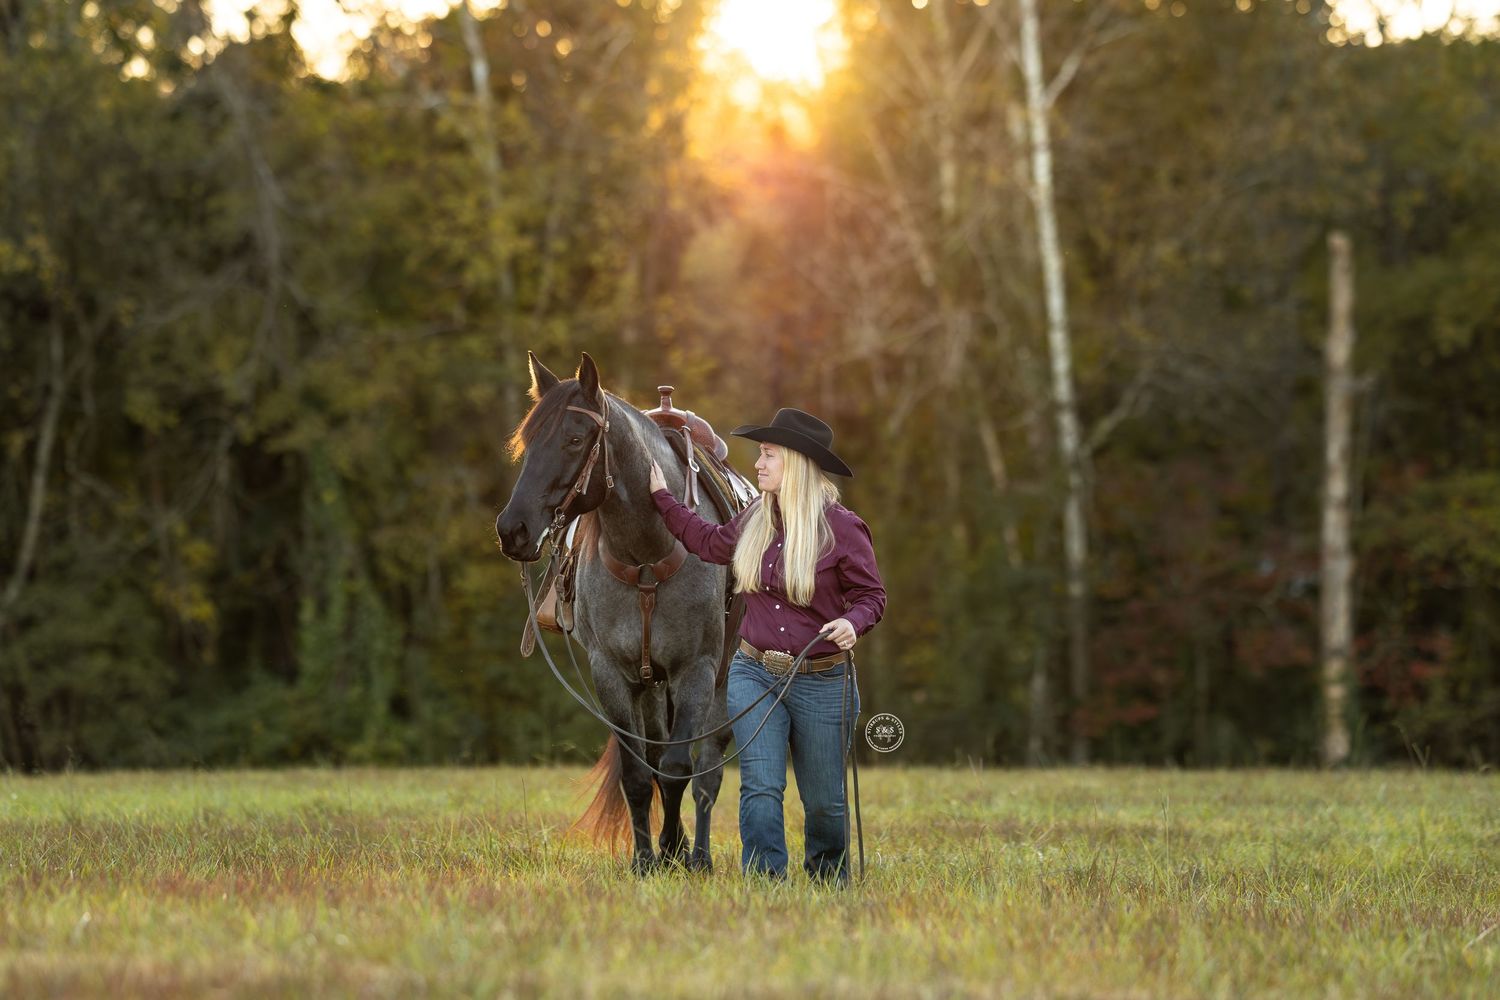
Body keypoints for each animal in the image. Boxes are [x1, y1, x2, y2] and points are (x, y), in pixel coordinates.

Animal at [495, 351, 736, 875]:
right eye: (528, 440)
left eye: (574, 439)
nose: (512, 530)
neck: (648, 552)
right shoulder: (613, 674)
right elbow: (638, 774)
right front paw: (647, 860)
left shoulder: (696, 671)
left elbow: (679, 770)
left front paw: (679, 855)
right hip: (650, 686)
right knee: (656, 751)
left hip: (722, 678)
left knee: (706, 769)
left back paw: (699, 856)